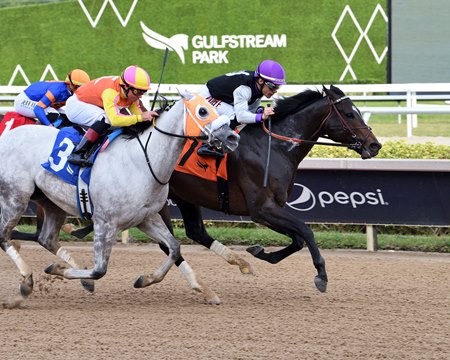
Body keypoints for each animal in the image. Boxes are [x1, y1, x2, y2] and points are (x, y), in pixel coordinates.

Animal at [0, 90, 239, 304]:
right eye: (202, 111)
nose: (233, 137)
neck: (142, 162)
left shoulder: (146, 218)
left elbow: (174, 248)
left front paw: (145, 279)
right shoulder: (105, 222)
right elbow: (99, 270)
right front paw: (62, 271)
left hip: (50, 202)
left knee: (46, 239)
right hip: (15, 197)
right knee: (4, 236)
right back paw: (27, 280)